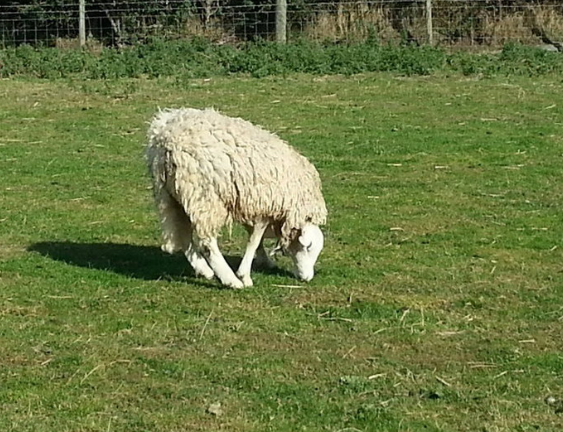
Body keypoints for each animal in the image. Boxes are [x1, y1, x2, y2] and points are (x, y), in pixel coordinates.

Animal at [148, 108, 328, 290]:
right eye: (309, 248)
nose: (307, 278)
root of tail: (167, 140)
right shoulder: (264, 206)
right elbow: (254, 240)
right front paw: (244, 275)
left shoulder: (250, 204)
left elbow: (254, 237)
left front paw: (264, 261)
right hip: (204, 196)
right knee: (207, 243)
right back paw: (230, 280)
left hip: (169, 196)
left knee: (181, 234)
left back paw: (204, 270)